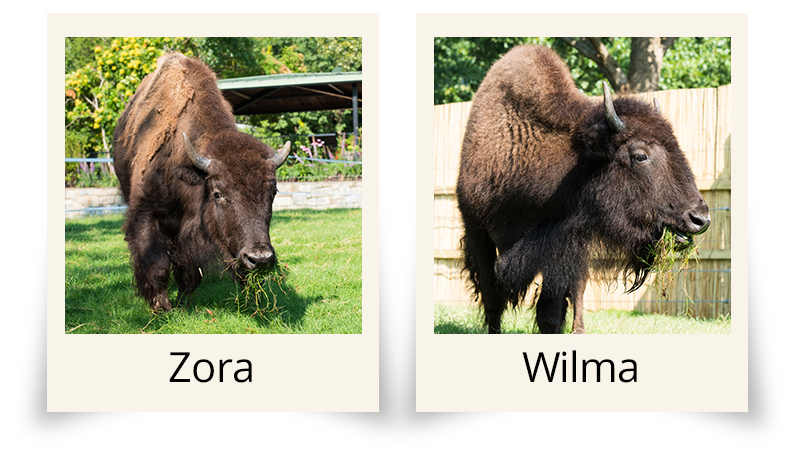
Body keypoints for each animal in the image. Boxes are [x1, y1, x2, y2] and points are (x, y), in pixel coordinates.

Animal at [113, 53, 290, 312]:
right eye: (217, 193)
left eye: (273, 192)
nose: (259, 259)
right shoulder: (146, 213)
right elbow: (157, 266)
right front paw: (162, 308)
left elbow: (189, 272)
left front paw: (183, 302)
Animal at [456, 45, 710, 334]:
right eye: (640, 156)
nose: (700, 218)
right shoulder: (477, 231)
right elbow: (493, 301)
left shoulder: (563, 241)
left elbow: (551, 312)